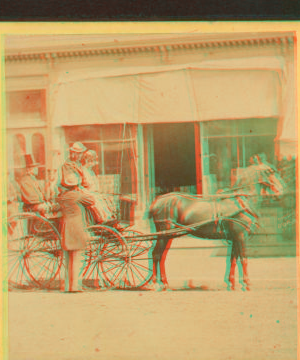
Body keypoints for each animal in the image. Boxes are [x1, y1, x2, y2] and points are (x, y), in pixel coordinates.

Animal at [149, 159, 284, 292]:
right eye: (269, 171)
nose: (281, 190)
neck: (240, 202)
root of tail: (158, 200)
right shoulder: (241, 236)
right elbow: (243, 259)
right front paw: (246, 283)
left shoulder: (235, 237)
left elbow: (233, 259)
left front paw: (231, 283)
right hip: (164, 235)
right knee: (156, 254)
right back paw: (156, 284)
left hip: (169, 235)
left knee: (162, 256)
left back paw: (165, 284)